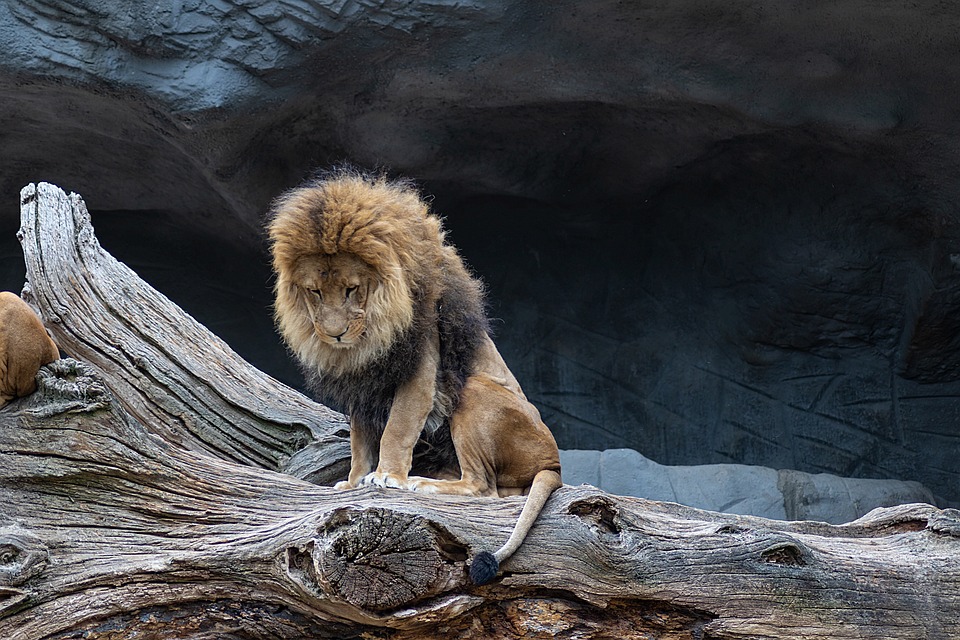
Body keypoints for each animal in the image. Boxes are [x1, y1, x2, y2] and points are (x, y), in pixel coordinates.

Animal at [267, 169, 562, 585]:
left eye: (351, 289)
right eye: (314, 292)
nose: (335, 334)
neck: (367, 340)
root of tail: (554, 464)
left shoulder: (422, 366)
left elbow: (397, 428)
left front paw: (388, 476)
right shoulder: (364, 387)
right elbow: (360, 440)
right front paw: (354, 481)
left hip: (472, 391)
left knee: (483, 488)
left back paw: (421, 484)